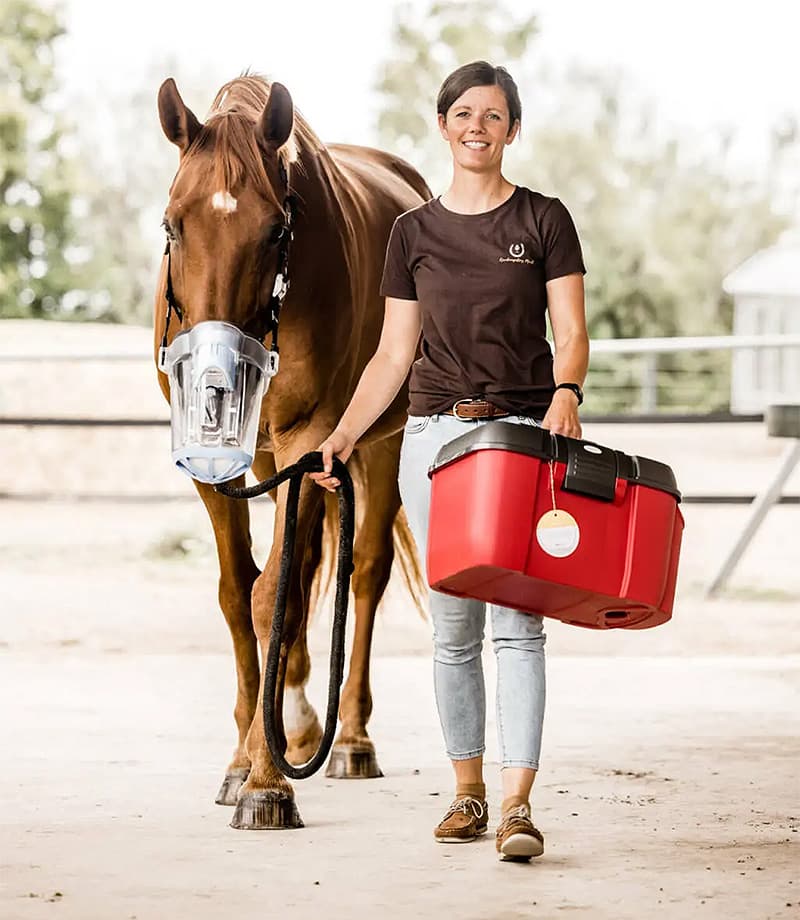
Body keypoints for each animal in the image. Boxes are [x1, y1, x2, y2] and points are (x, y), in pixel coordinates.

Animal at [153, 74, 429, 829]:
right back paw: (300, 719)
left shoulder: (312, 439)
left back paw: (348, 739)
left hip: (376, 444)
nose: (215, 377)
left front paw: (267, 780)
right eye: (172, 224)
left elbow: (269, 593)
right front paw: (245, 754)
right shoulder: (220, 462)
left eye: (277, 230)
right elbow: (239, 591)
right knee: (304, 577)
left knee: (363, 575)